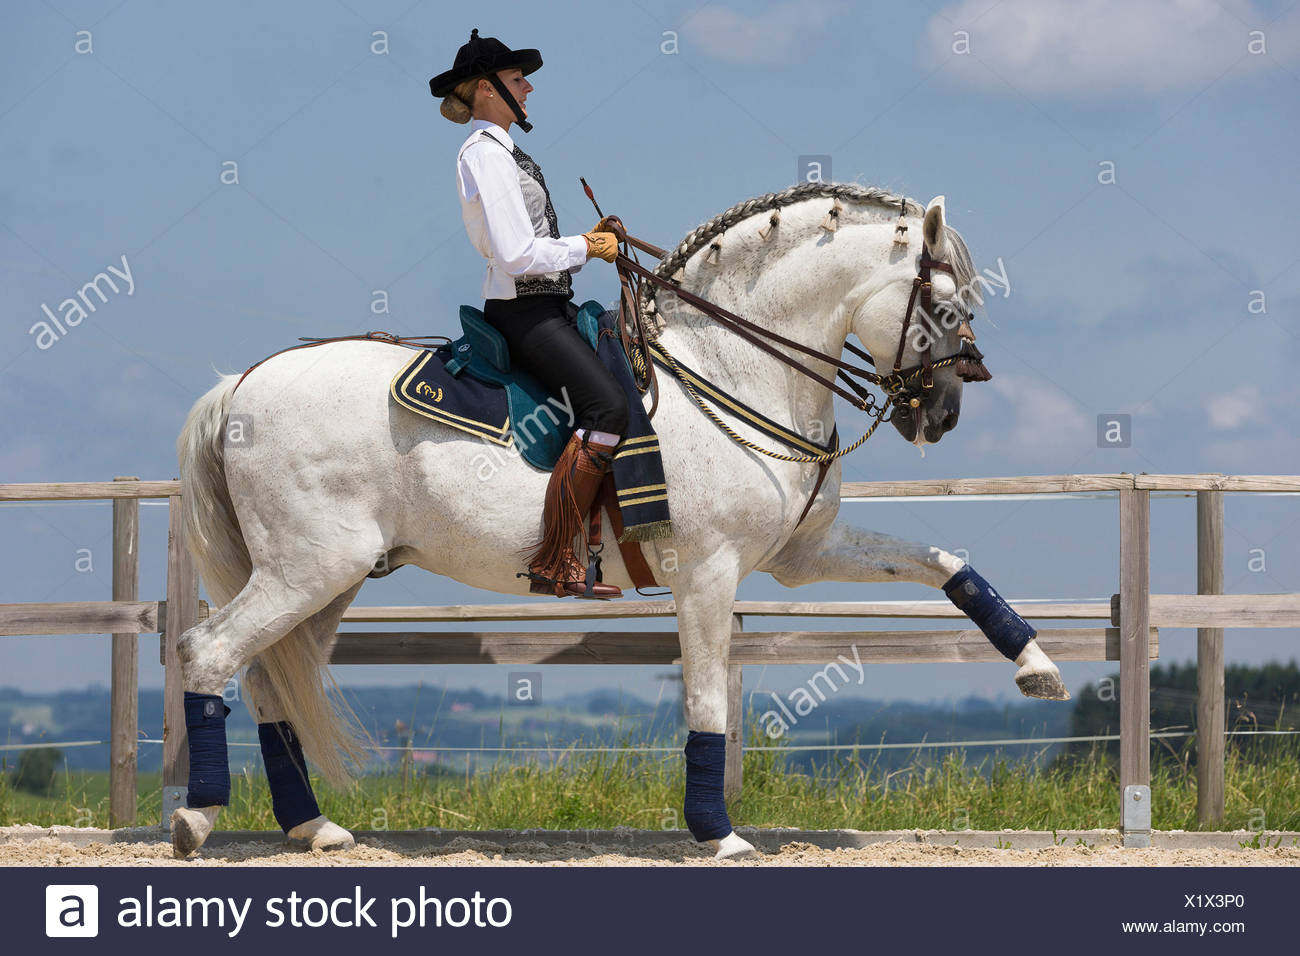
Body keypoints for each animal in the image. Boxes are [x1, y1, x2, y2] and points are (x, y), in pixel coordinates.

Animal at [168, 181, 1069, 860]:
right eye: (946, 308)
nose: (942, 414)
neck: (731, 369)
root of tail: (243, 384)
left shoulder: (806, 554)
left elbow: (942, 560)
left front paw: (1036, 666)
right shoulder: (708, 574)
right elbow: (705, 701)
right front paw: (718, 835)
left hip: (333, 579)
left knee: (268, 677)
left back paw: (313, 827)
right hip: (308, 568)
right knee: (209, 653)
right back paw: (195, 819)